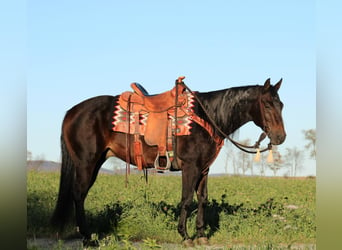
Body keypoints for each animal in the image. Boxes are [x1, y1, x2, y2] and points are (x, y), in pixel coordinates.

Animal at [50, 76, 286, 246]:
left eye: (281, 105)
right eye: (266, 104)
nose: (280, 137)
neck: (207, 117)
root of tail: (72, 112)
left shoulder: (204, 169)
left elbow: (202, 199)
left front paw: (201, 235)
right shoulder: (190, 167)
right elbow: (186, 199)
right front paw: (185, 236)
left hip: (95, 162)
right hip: (86, 163)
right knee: (79, 194)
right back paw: (88, 238)